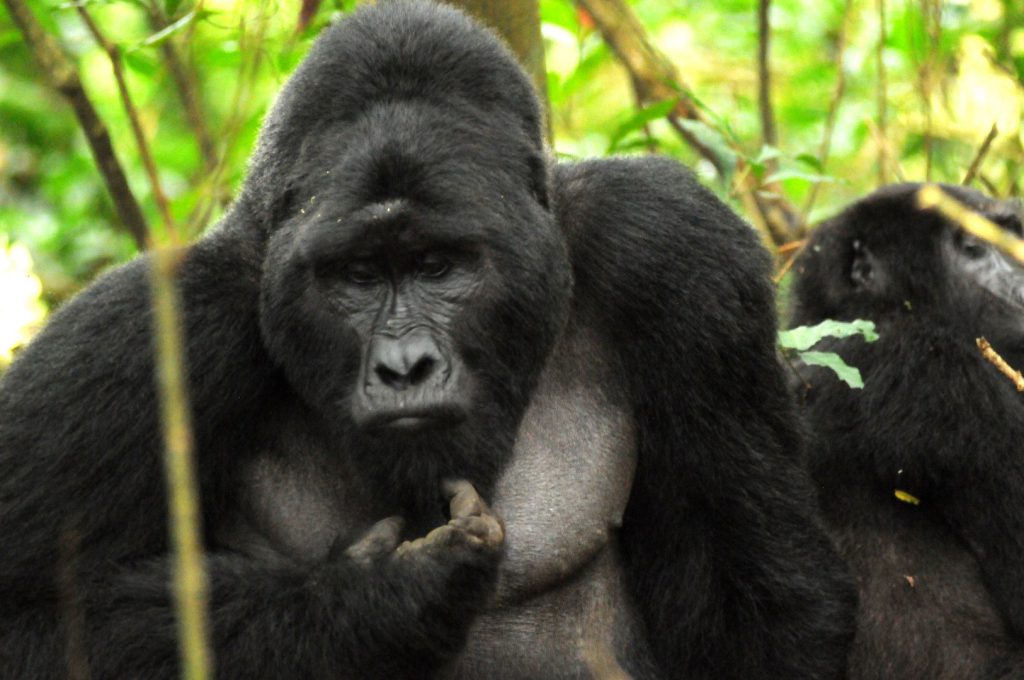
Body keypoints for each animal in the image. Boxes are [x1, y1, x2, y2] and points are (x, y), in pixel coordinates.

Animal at [0, 2, 856, 675]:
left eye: (438, 265)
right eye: (356, 275)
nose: (405, 367)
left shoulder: (675, 253)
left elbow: (760, 608)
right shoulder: (151, 330)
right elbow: (33, 620)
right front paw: (374, 604)